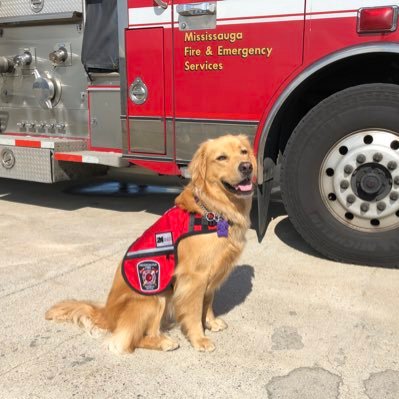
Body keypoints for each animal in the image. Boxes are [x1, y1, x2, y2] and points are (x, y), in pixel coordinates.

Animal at [45, 134, 258, 354]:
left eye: (243, 152)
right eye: (222, 157)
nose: (247, 167)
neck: (213, 210)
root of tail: (106, 314)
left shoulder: (212, 273)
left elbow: (207, 302)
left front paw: (211, 322)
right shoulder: (194, 277)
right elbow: (193, 311)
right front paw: (199, 339)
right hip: (155, 297)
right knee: (130, 339)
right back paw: (163, 342)